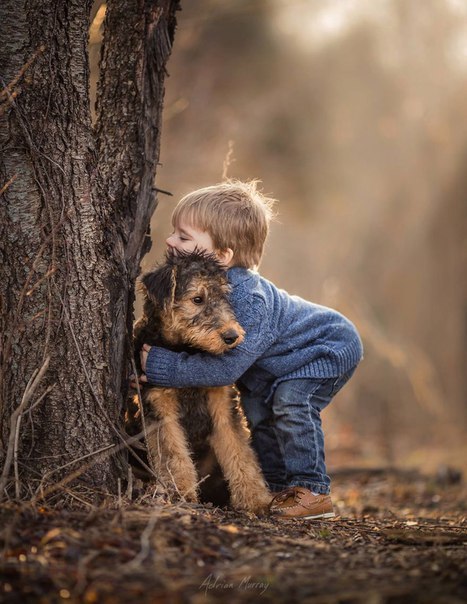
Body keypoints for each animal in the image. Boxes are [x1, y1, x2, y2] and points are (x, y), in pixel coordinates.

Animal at [132, 248, 270, 512]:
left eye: (225, 297)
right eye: (197, 299)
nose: (232, 336)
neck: (186, 350)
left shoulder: (223, 405)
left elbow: (240, 453)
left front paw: (255, 499)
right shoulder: (160, 406)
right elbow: (173, 454)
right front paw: (181, 493)